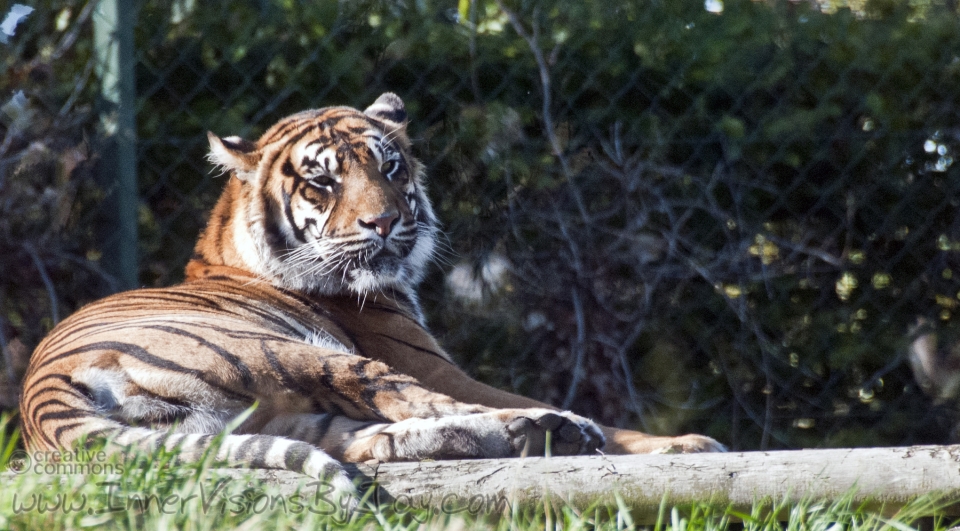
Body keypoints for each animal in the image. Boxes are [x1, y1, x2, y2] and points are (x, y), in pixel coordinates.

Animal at [18, 94, 724, 498]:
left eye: (389, 167)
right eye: (321, 183)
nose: (384, 223)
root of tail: (40, 400)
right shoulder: (428, 360)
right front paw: (687, 444)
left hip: (272, 417)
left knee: (377, 441)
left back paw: (538, 436)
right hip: (293, 354)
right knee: (422, 405)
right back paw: (560, 428)